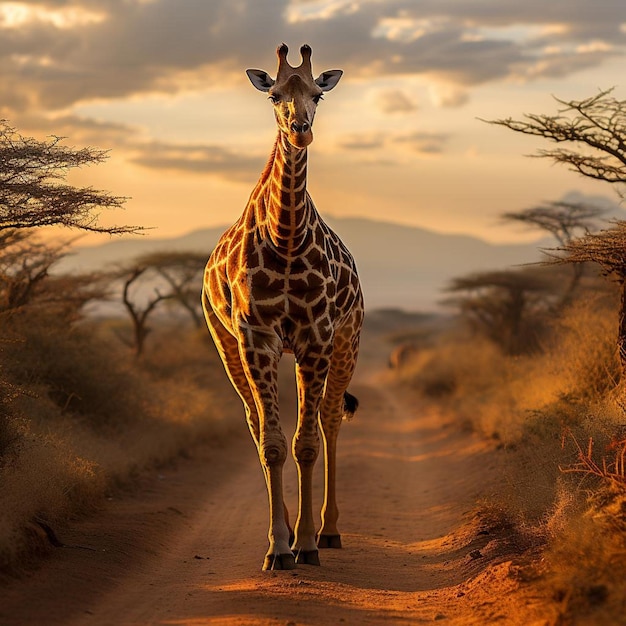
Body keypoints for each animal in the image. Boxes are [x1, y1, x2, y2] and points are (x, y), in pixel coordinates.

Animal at [202, 45, 364, 572]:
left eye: (317, 94)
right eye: (274, 94)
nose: (301, 128)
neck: (286, 237)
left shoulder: (315, 338)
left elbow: (306, 443)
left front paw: (308, 544)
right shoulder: (256, 339)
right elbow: (273, 444)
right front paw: (278, 546)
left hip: (347, 342)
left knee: (330, 420)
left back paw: (328, 530)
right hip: (226, 344)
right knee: (256, 425)